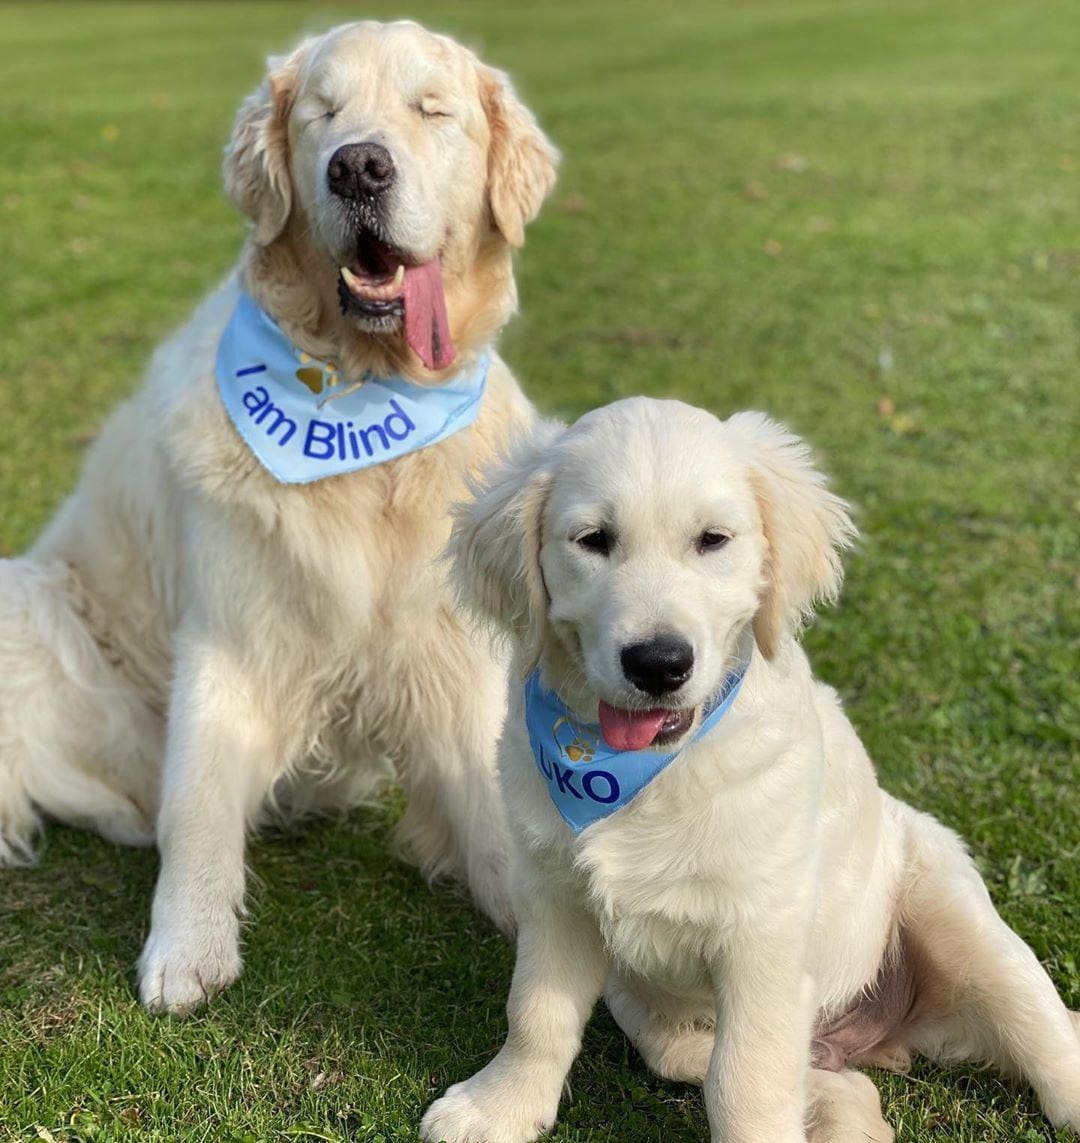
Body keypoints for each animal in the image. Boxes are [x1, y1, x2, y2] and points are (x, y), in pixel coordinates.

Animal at [0, 22, 555, 1014]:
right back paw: (129, 813)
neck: (363, 404)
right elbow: (198, 798)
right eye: (322, 114)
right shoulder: (228, 633)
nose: (359, 166)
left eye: (431, 111)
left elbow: (493, 810)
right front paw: (185, 948)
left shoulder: (448, 655)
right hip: (28, 599)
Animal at [422, 400, 1078, 1143]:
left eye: (712, 540)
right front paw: (500, 1105)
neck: (648, 771)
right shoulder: (553, 895)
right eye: (593, 540)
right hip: (645, 1000)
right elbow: (537, 1012)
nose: (658, 663)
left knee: (1047, 1032)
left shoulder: (764, 933)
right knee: (775, 1067)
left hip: (957, 914)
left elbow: (744, 1077)